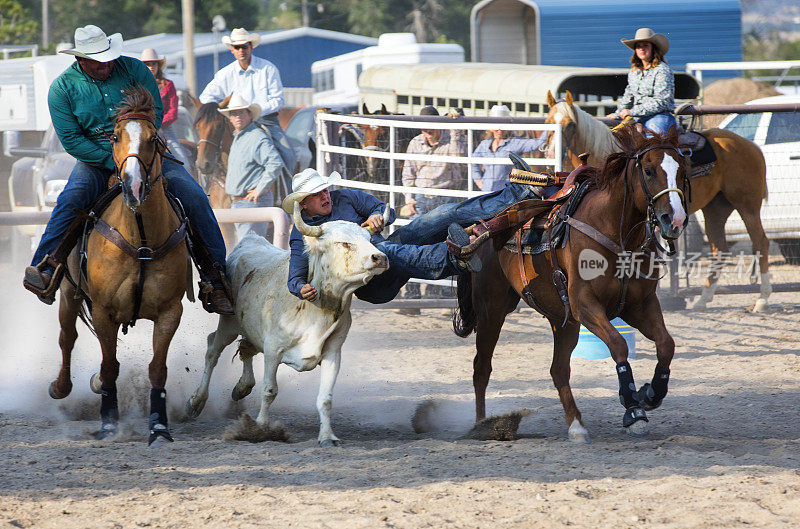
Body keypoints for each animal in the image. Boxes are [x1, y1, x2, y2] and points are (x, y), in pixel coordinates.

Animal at [48, 86, 188, 446]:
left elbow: (157, 369)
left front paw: (159, 427)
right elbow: (109, 365)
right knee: (67, 337)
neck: (140, 238)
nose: (133, 185)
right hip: (68, 293)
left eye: (154, 138)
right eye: (114, 136)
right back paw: (61, 386)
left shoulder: (170, 311)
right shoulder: (103, 310)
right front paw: (108, 424)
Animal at [454, 126, 692, 440]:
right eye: (649, 170)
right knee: (481, 369)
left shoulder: (640, 305)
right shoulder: (585, 305)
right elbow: (618, 345)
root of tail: (482, 229)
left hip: (562, 319)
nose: (674, 219)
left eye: (682, 171)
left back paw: (576, 425)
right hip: (492, 311)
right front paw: (632, 408)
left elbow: (666, 344)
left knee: (558, 370)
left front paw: (650, 394)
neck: (616, 234)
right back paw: (482, 425)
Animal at [544, 90, 768, 312]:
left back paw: (761, 300)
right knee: (719, 249)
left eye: (570, 124)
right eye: (548, 121)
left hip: (747, 205)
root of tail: (750, 145)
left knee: (760, 242)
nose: (550, 153)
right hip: (715, 209)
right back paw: (703, 299)